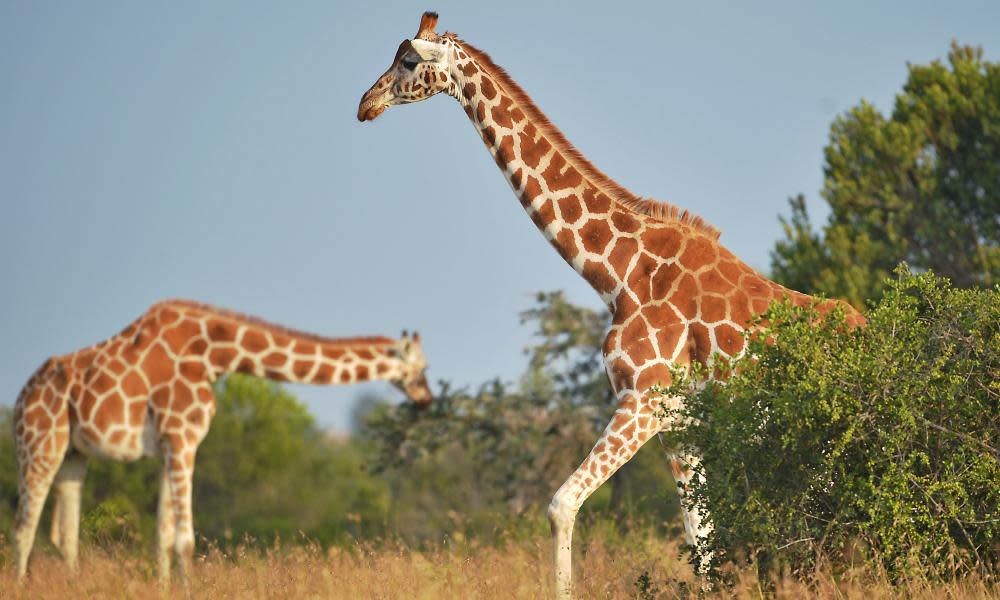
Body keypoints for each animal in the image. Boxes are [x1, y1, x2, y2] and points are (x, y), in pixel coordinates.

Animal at [11, 298, 432, 580]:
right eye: (422, 367)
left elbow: (163, 536)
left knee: (65, 536)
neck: (216, 354)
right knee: (22, 530)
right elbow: (185, 540)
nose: (427, 398)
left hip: (73, 453)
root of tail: (20, 399)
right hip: (39, 444)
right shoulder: (182, 437)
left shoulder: (169, 445)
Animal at [360, 11, 868, 596]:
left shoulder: (642, 400)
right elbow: (700, 543)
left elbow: (561, 505)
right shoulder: (681, 425)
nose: (365, 103)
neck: (618, 273)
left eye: (408, 61)